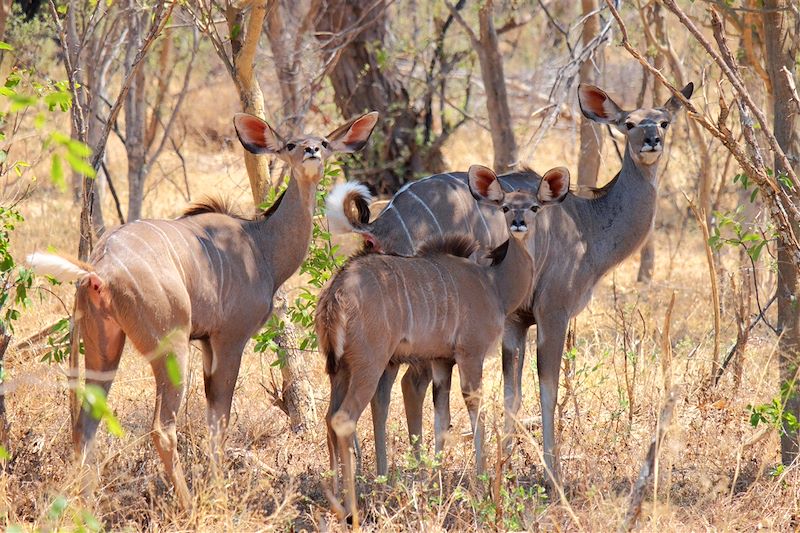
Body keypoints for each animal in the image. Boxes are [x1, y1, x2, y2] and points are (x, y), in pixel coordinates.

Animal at [24, 110, 376, 504]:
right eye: (290, 145)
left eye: (324, 142)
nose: (312, 151)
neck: (260, 245)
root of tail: (100, 268)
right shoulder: (228, 339)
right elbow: (219, 420)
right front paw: (219, 492)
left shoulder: (207, 343)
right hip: (170, 346)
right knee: (161, 427)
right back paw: (187, 501)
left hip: (104, 346)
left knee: (85, 423)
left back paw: (84, 503)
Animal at [318, 165, 568, 502]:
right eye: (505, 207)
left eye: (534, 207)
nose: (518, 224)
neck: (493, 283)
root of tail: (338, 291)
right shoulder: (470, 354)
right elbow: (477, 411)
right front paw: (482, 481)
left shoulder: (440, 361)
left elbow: (441, 421)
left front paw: (433, 483)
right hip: (370, 364)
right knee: (345, 418)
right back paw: (351, 500)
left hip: (340, 369)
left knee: (330, 419)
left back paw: (335, 492)